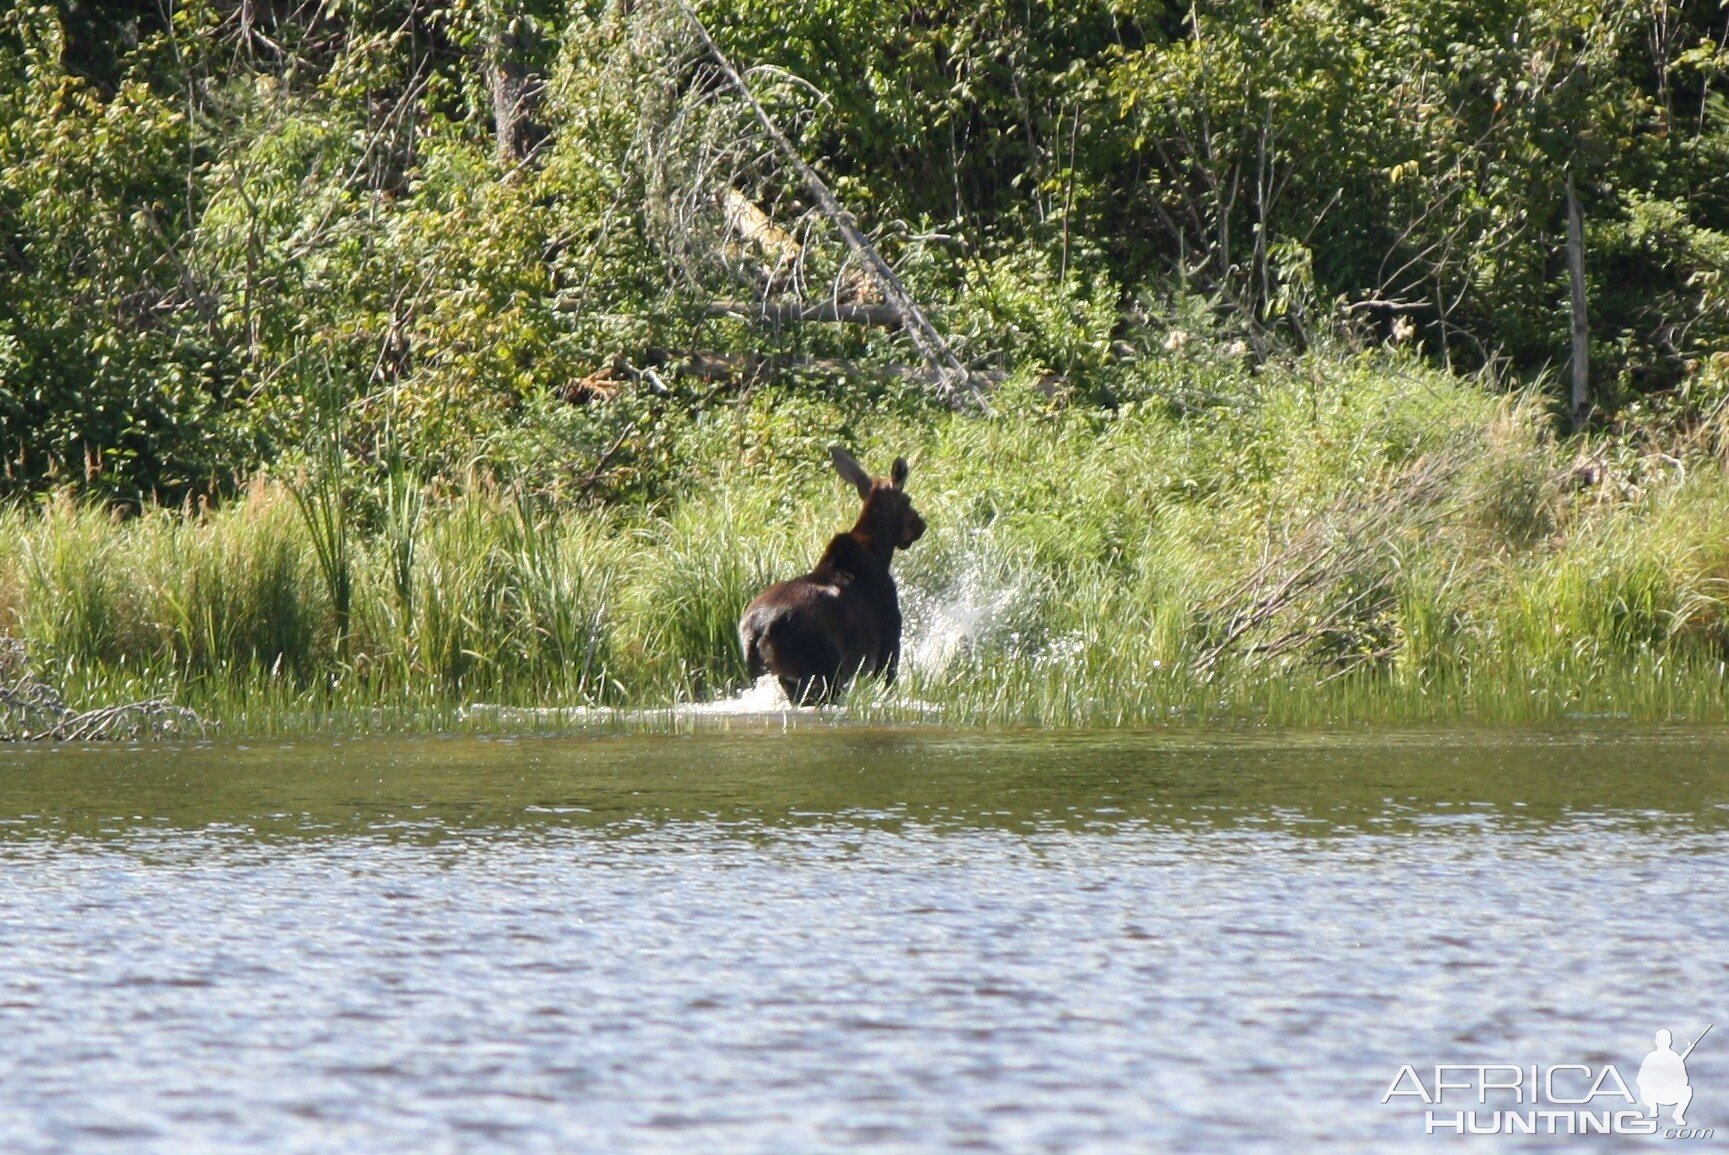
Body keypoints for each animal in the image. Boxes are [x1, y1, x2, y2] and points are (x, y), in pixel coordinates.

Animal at [736, 446, 926, 705]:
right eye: (908, 500)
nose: (921, 525)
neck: (880, 551)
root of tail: (757, 632)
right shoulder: (889, 642)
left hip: (769, 676)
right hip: (825, 671)